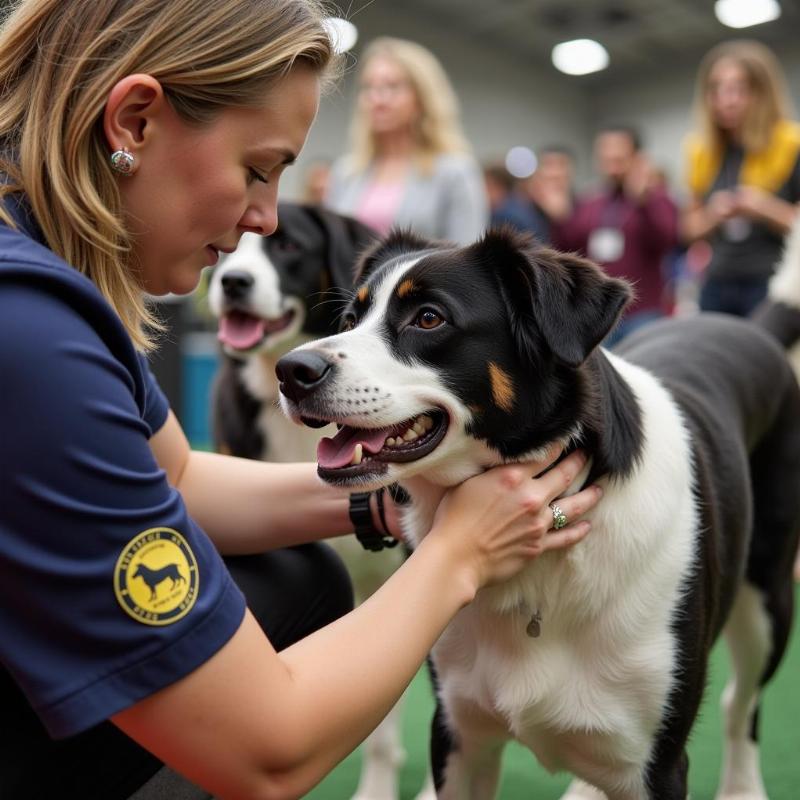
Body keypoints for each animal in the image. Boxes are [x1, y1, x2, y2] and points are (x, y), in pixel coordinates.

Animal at [276, 227, 800, 800]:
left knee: (741, 705)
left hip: (768, 602)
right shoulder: (458, 734)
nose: (292, 372)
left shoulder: (657, 766)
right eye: (351, 318)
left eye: (429, 318)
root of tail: (745, 326)